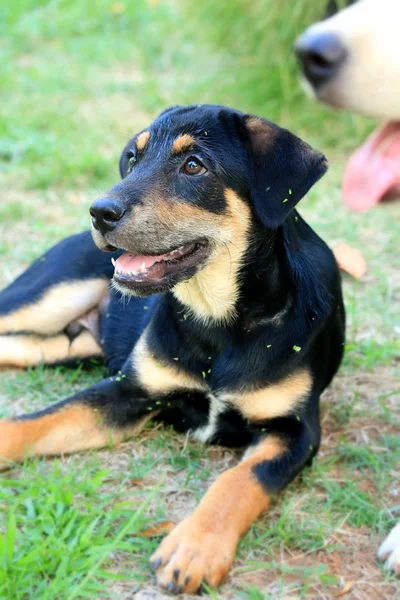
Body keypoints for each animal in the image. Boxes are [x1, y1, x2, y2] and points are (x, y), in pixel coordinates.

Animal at [0, 105, 344, 592]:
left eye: (194, 165)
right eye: (132, 158)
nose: (99, 213)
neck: (222, 320)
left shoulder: (296, 431)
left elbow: (239, 480)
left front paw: (195, 547)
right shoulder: (129, 390)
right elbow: (35, 422)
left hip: (68, 344)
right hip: (47, 298)